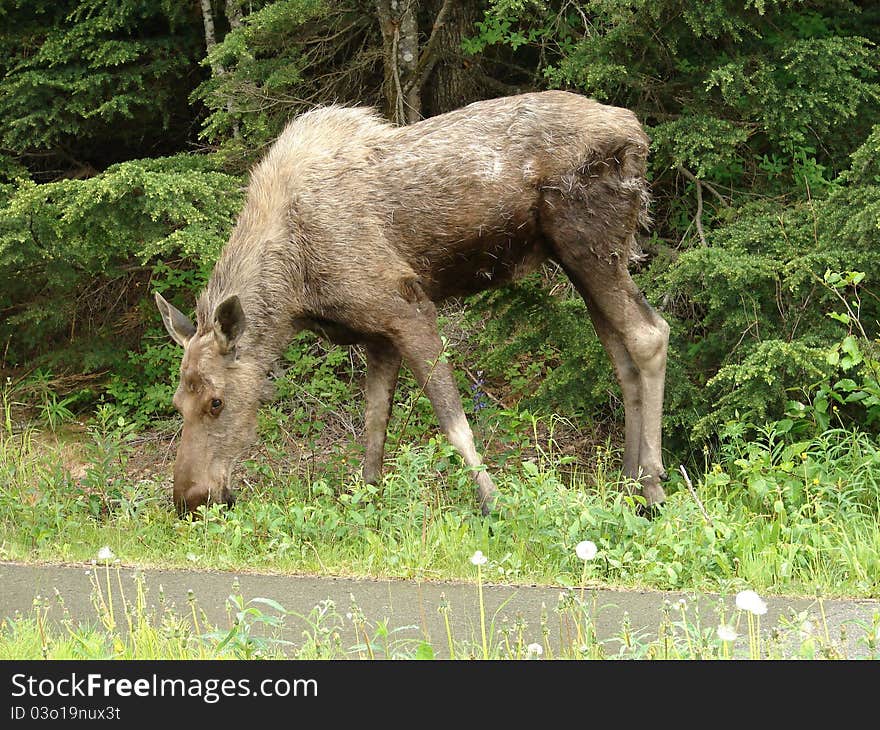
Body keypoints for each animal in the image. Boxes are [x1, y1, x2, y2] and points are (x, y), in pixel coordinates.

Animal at [156, 88, 668, 516]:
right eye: (178, 402)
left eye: (216, 402)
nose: (190, 501)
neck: (296, 289)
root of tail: (637, 134)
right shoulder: (376, 332)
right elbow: (374, 424)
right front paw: (368, 499)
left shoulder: (408, 306)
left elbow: (453, 421)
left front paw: (494, 504)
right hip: (579, 257)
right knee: (621, 356)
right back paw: (628, 483)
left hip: (590, 243)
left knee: (650, 333)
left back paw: (654, 485)